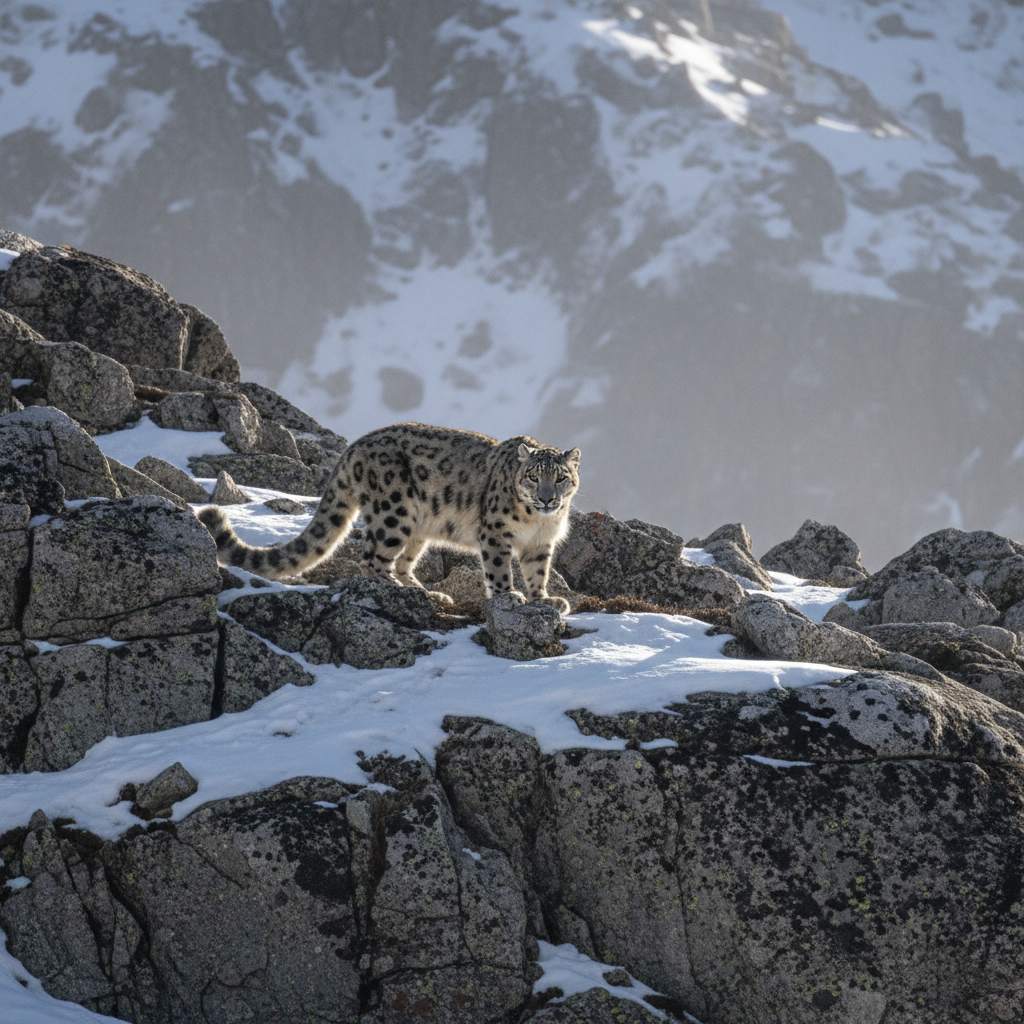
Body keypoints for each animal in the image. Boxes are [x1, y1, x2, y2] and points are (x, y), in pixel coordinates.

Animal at [197, 422, 581, 614]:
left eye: (561, 477)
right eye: (533, 476)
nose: (547, 498)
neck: (536, 522)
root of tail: (354, 448)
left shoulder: (541, 544)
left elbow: (537, 572)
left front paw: (544, 599)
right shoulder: (497, 533)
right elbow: (499, 567)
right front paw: (508, 596)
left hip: (418, 528)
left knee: (402, 561)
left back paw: (427, 594)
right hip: (395, 512)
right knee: (371, 559)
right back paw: (401, 591)